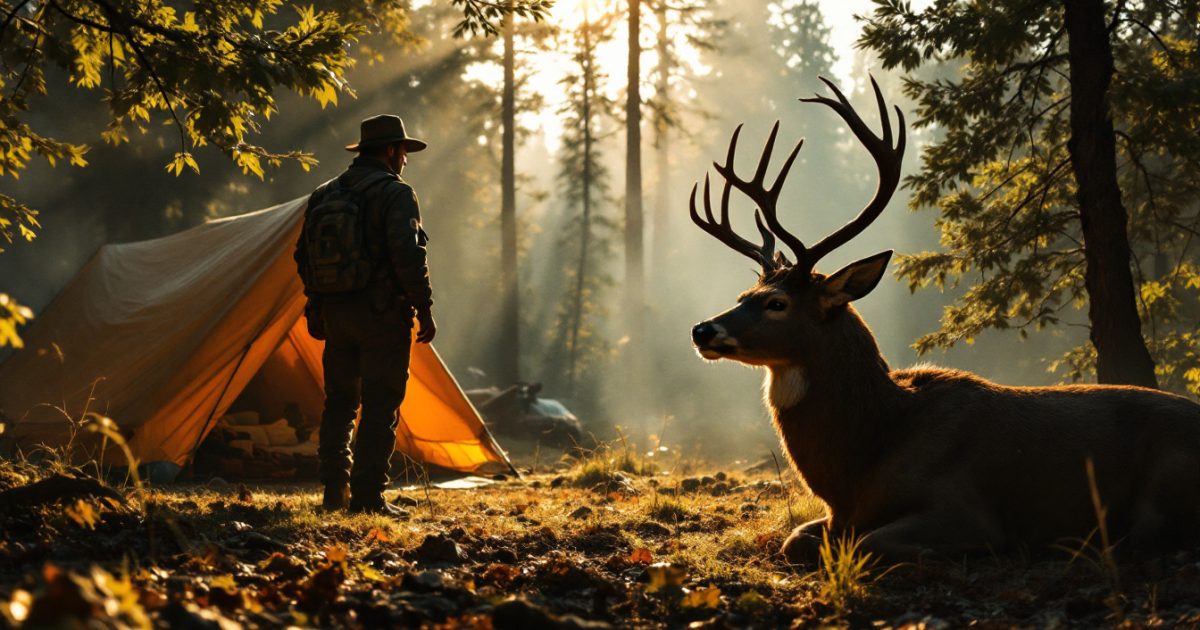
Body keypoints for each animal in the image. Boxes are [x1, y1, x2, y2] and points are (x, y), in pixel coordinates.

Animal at [689, 76, 1200, 563]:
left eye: (777, 303)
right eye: (744, 295)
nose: (701, 329)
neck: (864, 461)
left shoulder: (965, 510)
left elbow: (868, 542)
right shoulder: (835, 516)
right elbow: (793, 539)